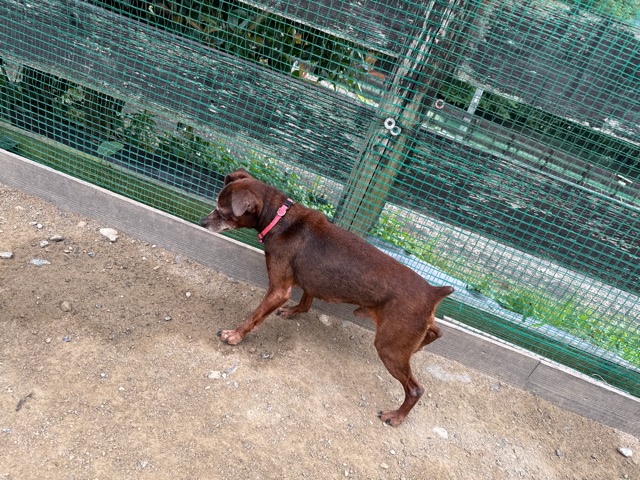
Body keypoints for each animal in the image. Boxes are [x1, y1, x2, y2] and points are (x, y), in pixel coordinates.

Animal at [200, 169, 454, 426]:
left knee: (415, 389)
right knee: (436, 331)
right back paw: (420, 346)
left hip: (389, 346)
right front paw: (293, 311)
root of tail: (433, 291)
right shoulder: (309, 280)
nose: (202, 222)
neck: (279, 219)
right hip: (407, 332)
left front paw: (234, 335)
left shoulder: (278, 290)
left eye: (222, 211)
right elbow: (306, 301)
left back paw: (396, 416)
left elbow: (254, 316)